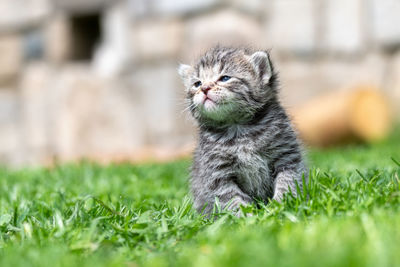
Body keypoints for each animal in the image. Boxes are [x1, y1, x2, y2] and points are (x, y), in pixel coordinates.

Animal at [177, 46, 306, 217]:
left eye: (225, 78)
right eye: (197, 83)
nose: (204, 88)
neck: (238, 128)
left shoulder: (287, 156)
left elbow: (288, 182)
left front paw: (281, 207)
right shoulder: (218, 174)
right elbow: (232, 198)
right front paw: (246, 218)